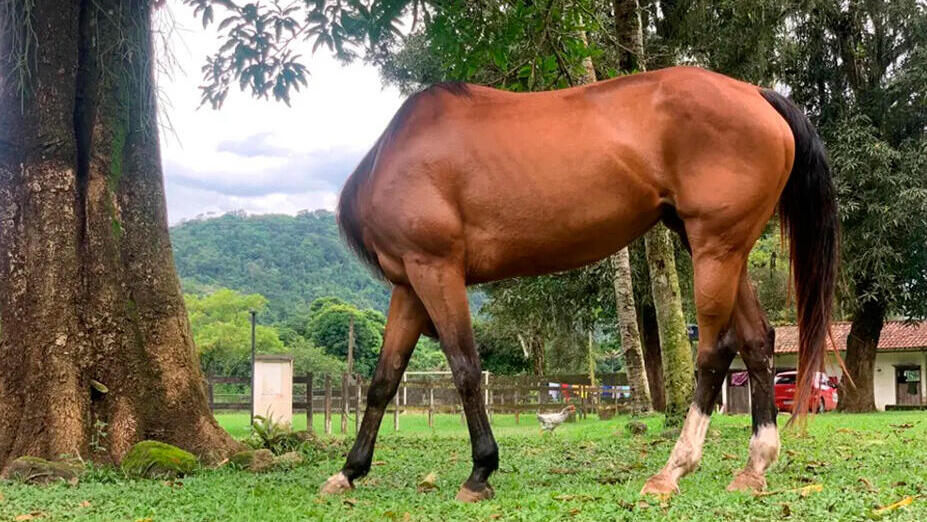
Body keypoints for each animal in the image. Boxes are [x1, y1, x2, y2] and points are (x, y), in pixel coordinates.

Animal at [320, 66, 840, 500]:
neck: (397, 158)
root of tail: (755, 93)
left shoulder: (436, 269)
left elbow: (465, 369)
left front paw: (480, 471)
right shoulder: (409, 284)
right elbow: (383, 380)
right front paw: (348, 471)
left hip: (715, 248)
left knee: (715, 350)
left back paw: (672, 470)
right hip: (723, 249)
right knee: (756, 341)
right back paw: (755, 466)